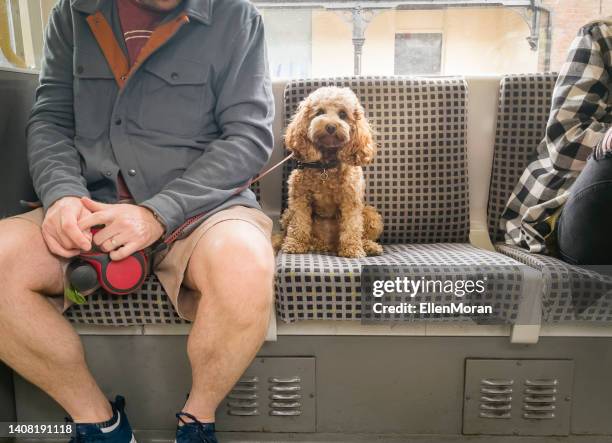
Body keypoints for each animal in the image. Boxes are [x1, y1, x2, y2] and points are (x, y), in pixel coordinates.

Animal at [276, 86, 382, 258]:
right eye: (319, 112)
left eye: (343, 114)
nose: (331, 126)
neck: (325, 166)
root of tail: (328, 244)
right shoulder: (300, 197)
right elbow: (299, 223)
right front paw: (295, 244)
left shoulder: (351, 199)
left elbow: (352, 226)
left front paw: (352, 249)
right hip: (286, 215)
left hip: (371, 215)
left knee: (362, 232)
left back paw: (369, 246)